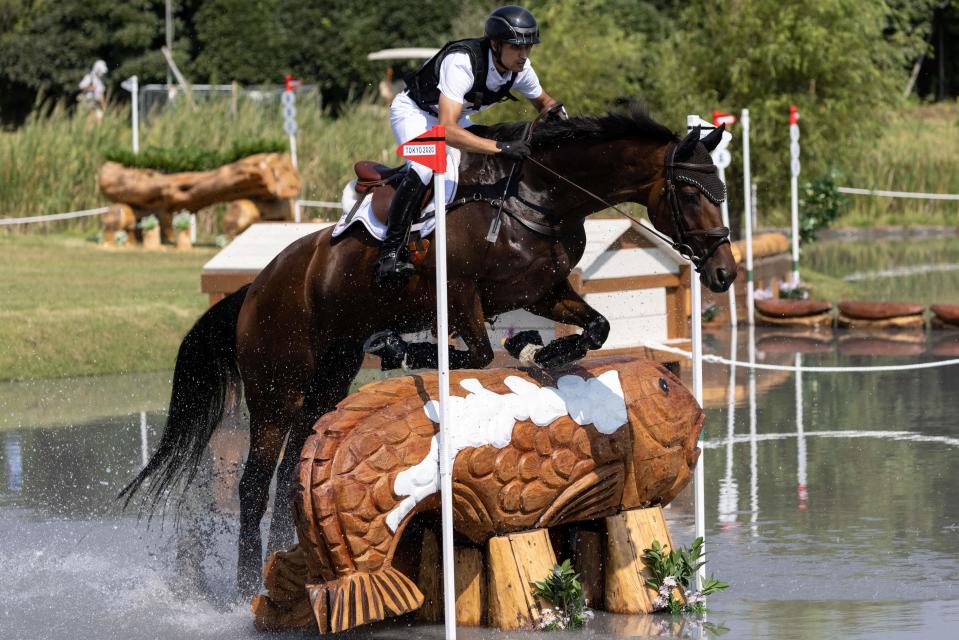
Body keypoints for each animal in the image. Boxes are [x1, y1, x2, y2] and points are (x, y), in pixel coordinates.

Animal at [118, 106, 736, 596]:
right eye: (688, 191)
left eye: (721, 192)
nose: (724, 274)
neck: (538, 198)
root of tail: (256, 285)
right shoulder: (460, 293)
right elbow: (478, 354)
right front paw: (412, 348)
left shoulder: (542, 291)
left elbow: (598, 326)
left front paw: (539, 351)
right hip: (277, 388)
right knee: (251, 484)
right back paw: (247, 583)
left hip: (327, 380)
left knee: (291, 472)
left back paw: (283, 566)